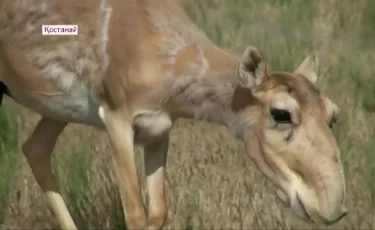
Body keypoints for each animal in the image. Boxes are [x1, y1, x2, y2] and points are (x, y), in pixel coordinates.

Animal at [0, 0, 346, 229]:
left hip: (56, 113)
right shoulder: (117, 121)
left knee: (35, 148)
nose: (333, 208)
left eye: (332, 114)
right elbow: (135, 214)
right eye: (281, 113)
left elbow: (157, 214)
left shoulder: (159, 130)